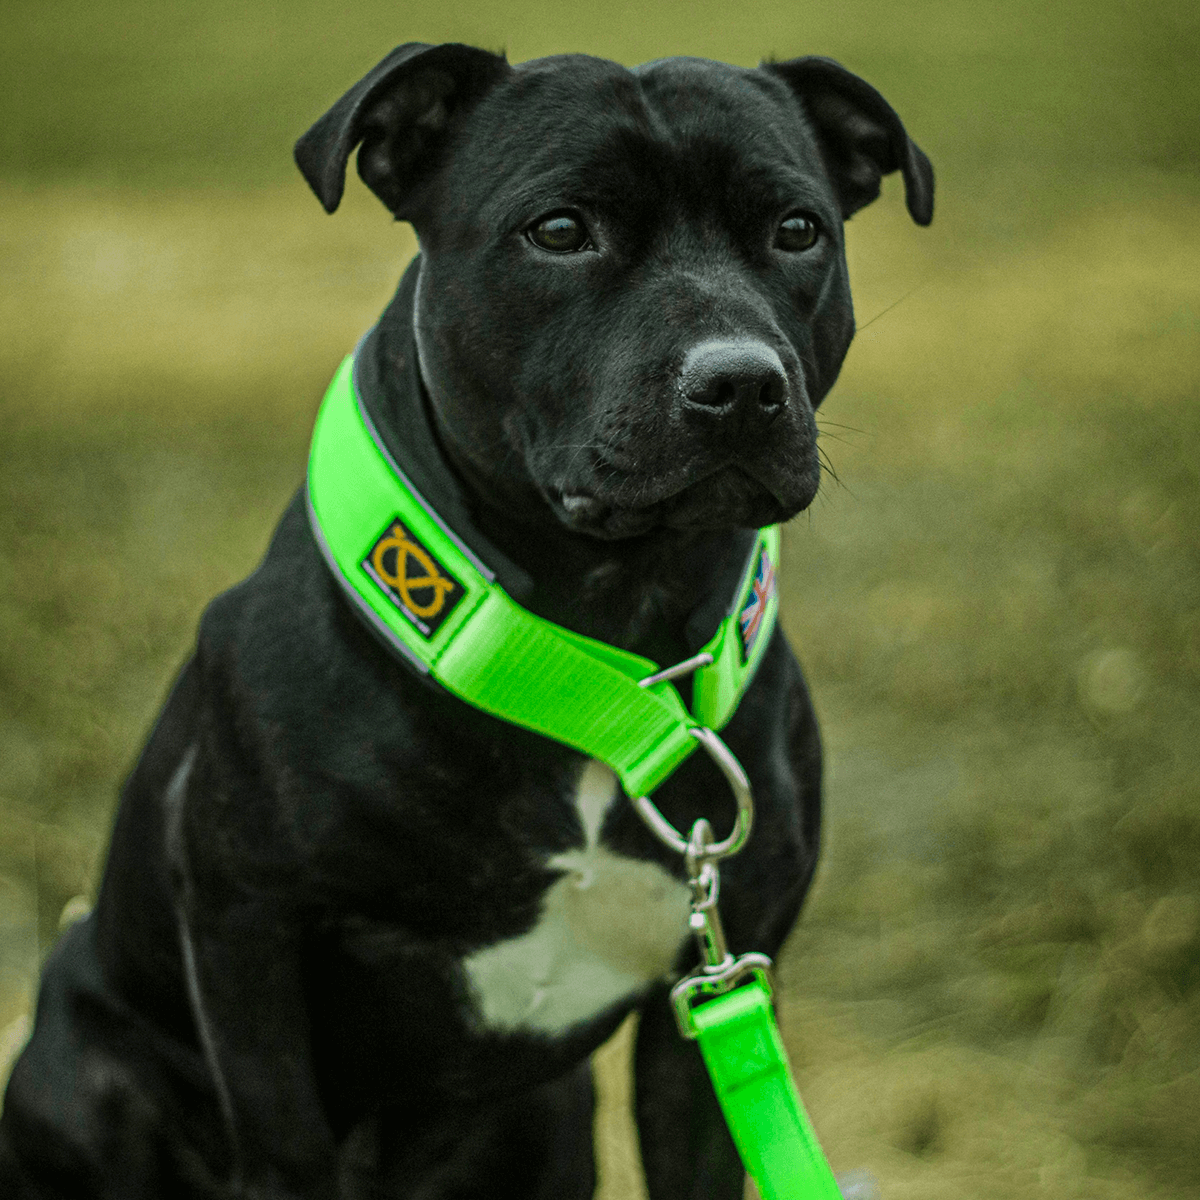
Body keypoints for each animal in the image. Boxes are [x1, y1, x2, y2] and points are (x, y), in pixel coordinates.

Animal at [0, 42, 931, 1195]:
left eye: (798, 229)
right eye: (561, 230)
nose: (741, 381)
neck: (604, 647)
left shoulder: (717, 991)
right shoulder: (244, 933)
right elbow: (283, 1147)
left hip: (554, 1115)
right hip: (90, 1079)